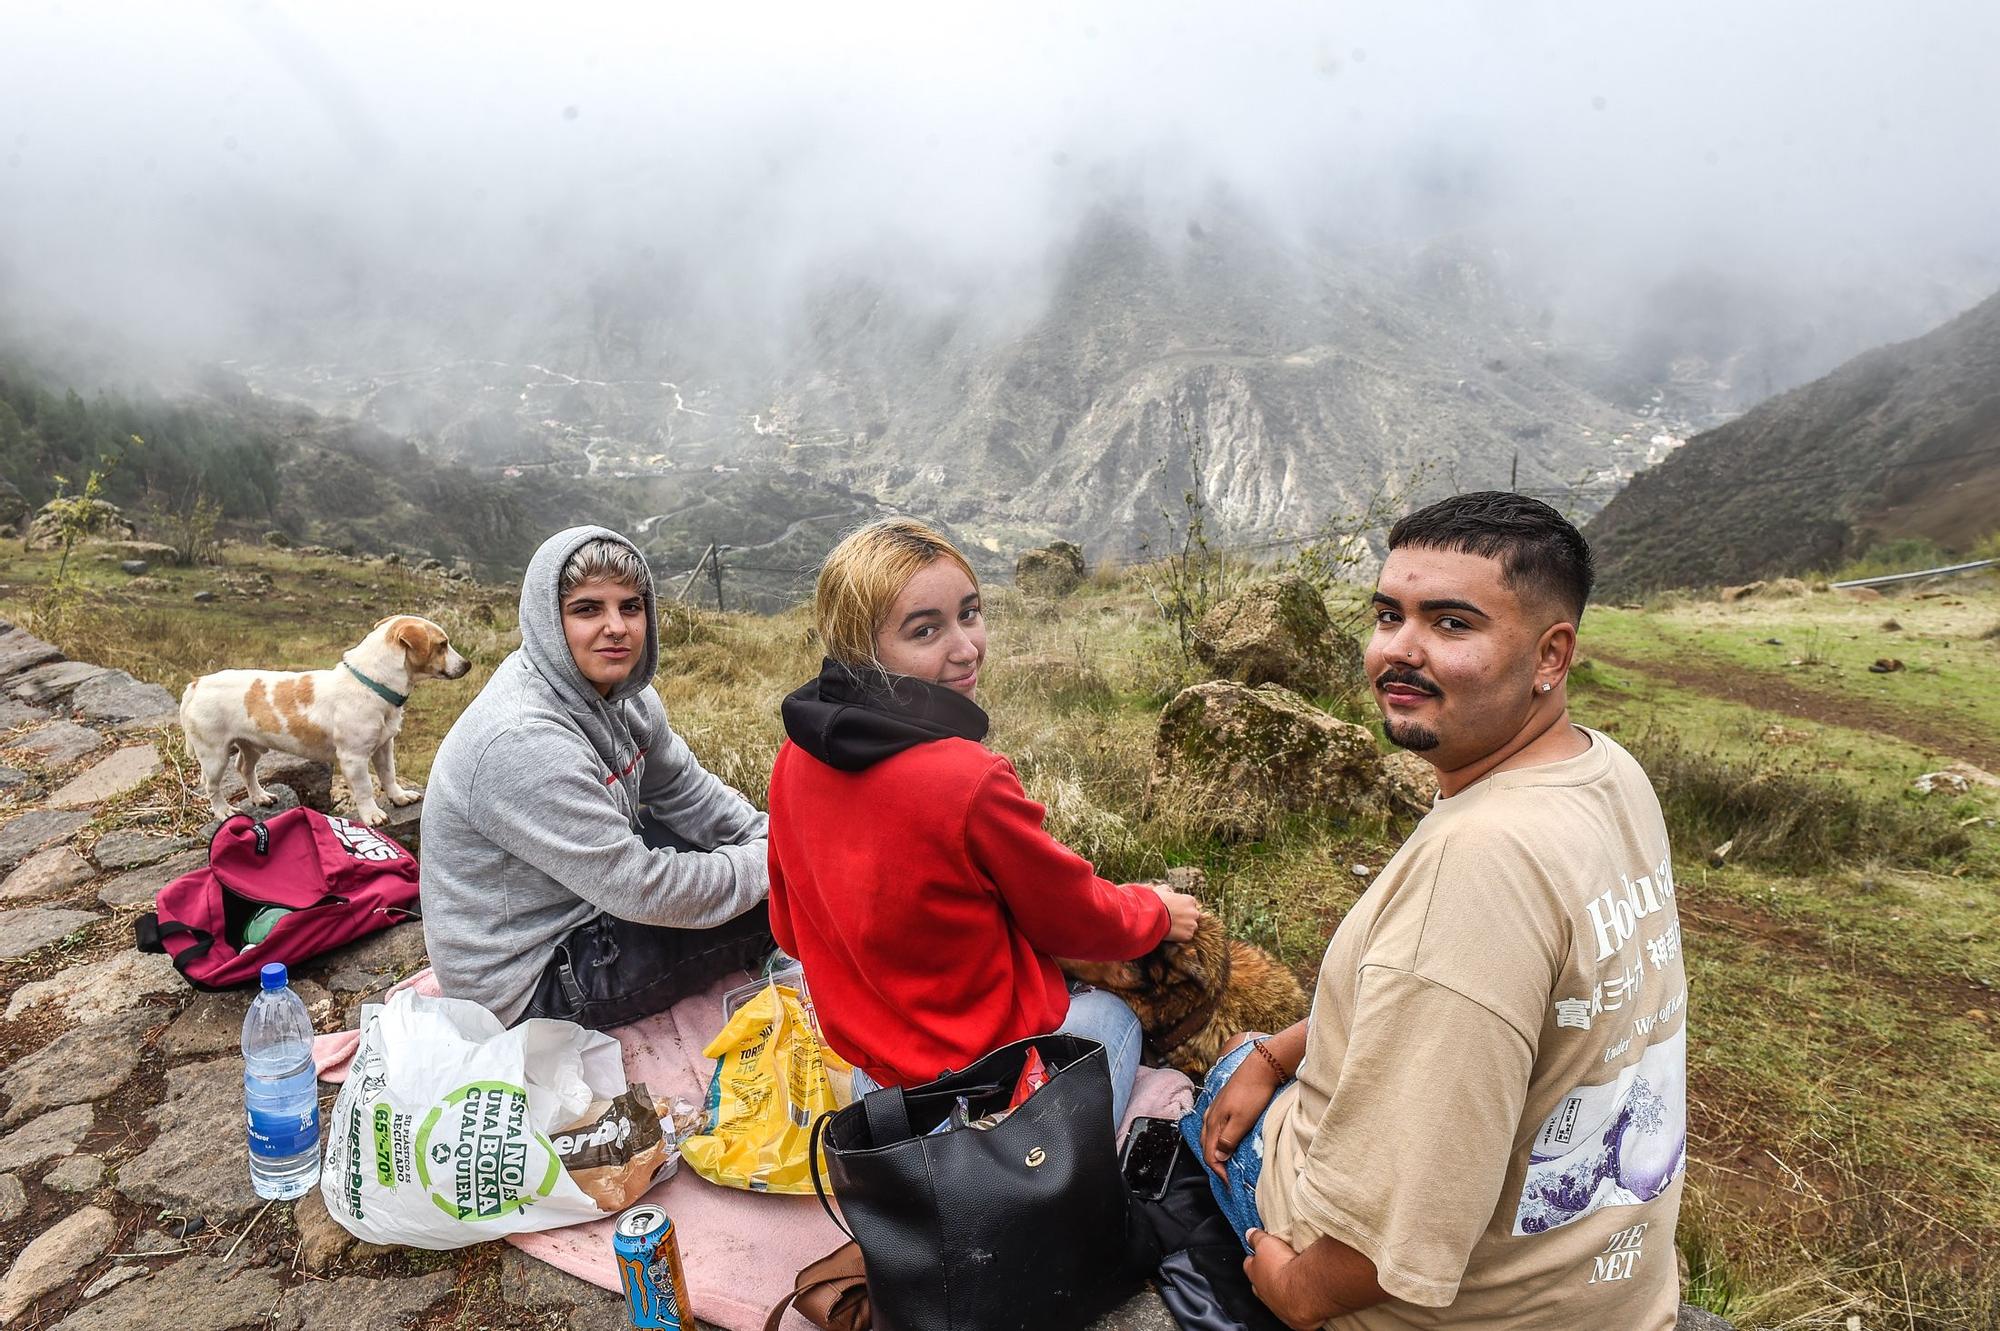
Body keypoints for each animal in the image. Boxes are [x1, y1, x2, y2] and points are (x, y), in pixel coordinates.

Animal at [181, 615, 472, 823]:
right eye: (442, 644)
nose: (467, 664)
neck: (371, 684)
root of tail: (197, 683)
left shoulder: (384, 746)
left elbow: (389, 776)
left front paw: (399, 797)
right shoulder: (354, 758)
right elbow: (365, 789)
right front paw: (372, 815)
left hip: (251, 745)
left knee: (244, 768)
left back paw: (260, 796)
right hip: (214, 756)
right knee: (212, 786)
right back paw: (223, 811)